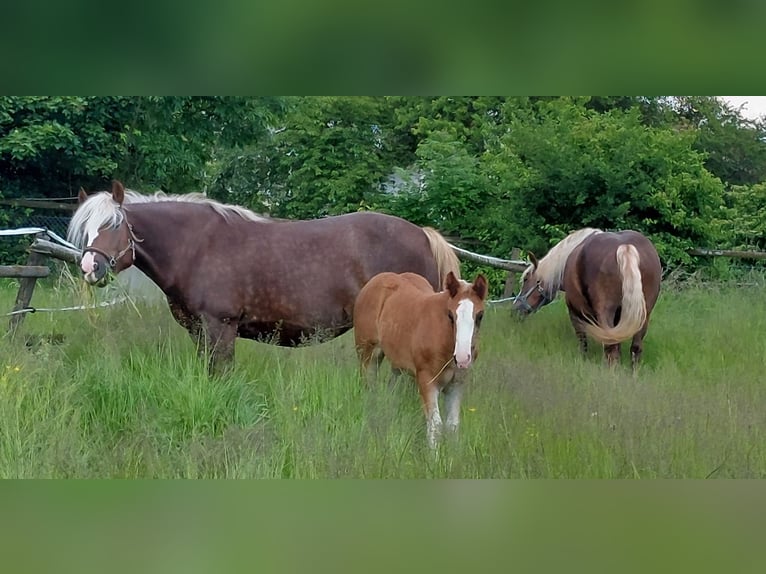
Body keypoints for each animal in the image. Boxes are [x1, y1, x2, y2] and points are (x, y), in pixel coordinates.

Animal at [69, 182, 460, 376]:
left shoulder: (220, 327)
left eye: (114, 225)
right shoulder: (199, 331)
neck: (196, 246)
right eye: (87, 228)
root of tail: (423, 234)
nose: (90, 267)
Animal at [512, 230, 664, 368]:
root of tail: (625, 247)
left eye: (526, 279)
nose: (515, 308)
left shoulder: (574, 311)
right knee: (635, 348)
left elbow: (582, 341)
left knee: (610, 348)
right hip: (644, 315)